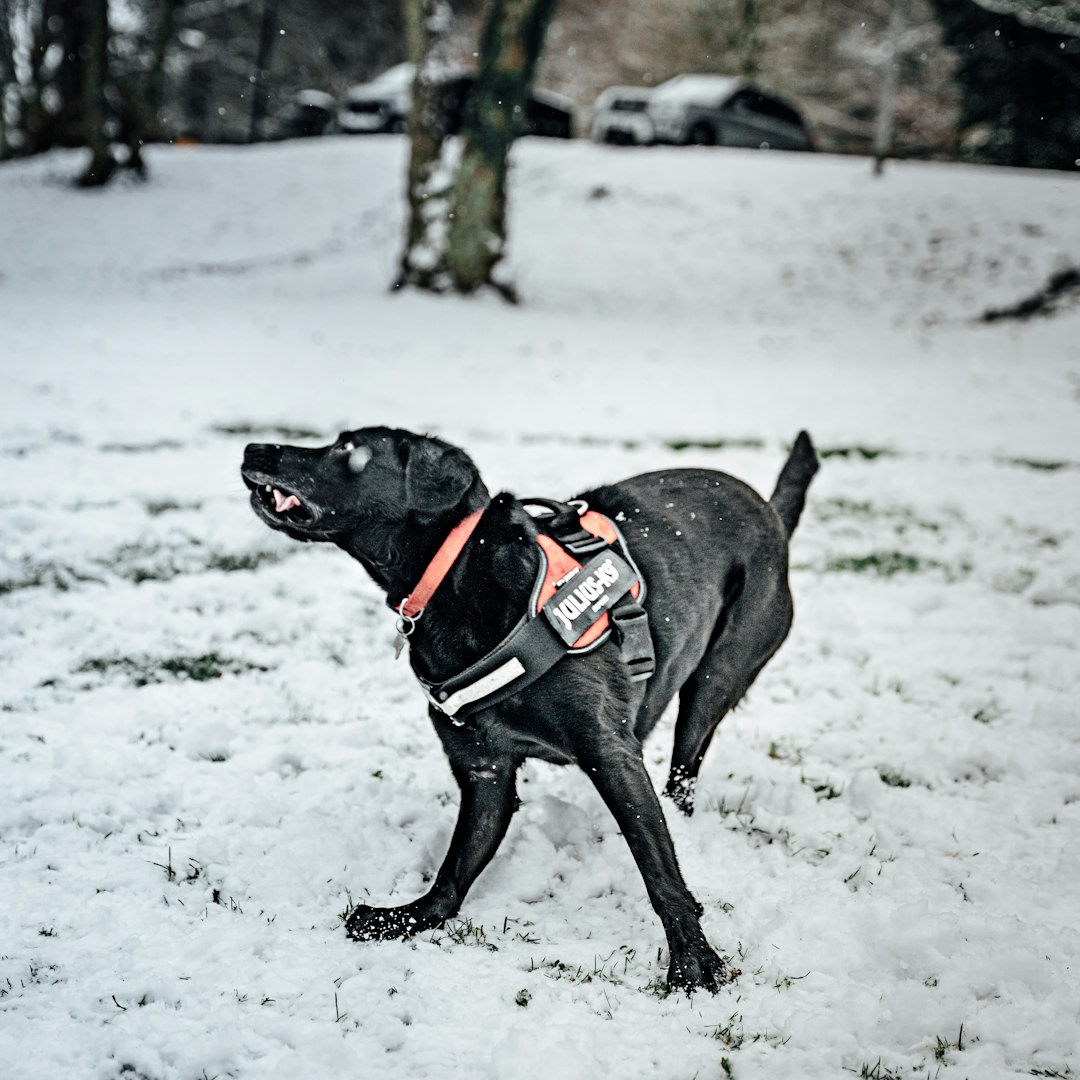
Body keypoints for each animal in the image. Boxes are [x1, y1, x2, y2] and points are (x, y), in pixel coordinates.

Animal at [243, 425, 816, 989]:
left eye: (348, 448)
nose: (253, 447)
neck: (454, 581)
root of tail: (768, 509)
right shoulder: (484, 769)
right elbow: (456, 866)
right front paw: (408, 917)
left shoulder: (611, 755)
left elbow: (658, 870)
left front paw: (693, 959)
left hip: (716, 678)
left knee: (685, 772)